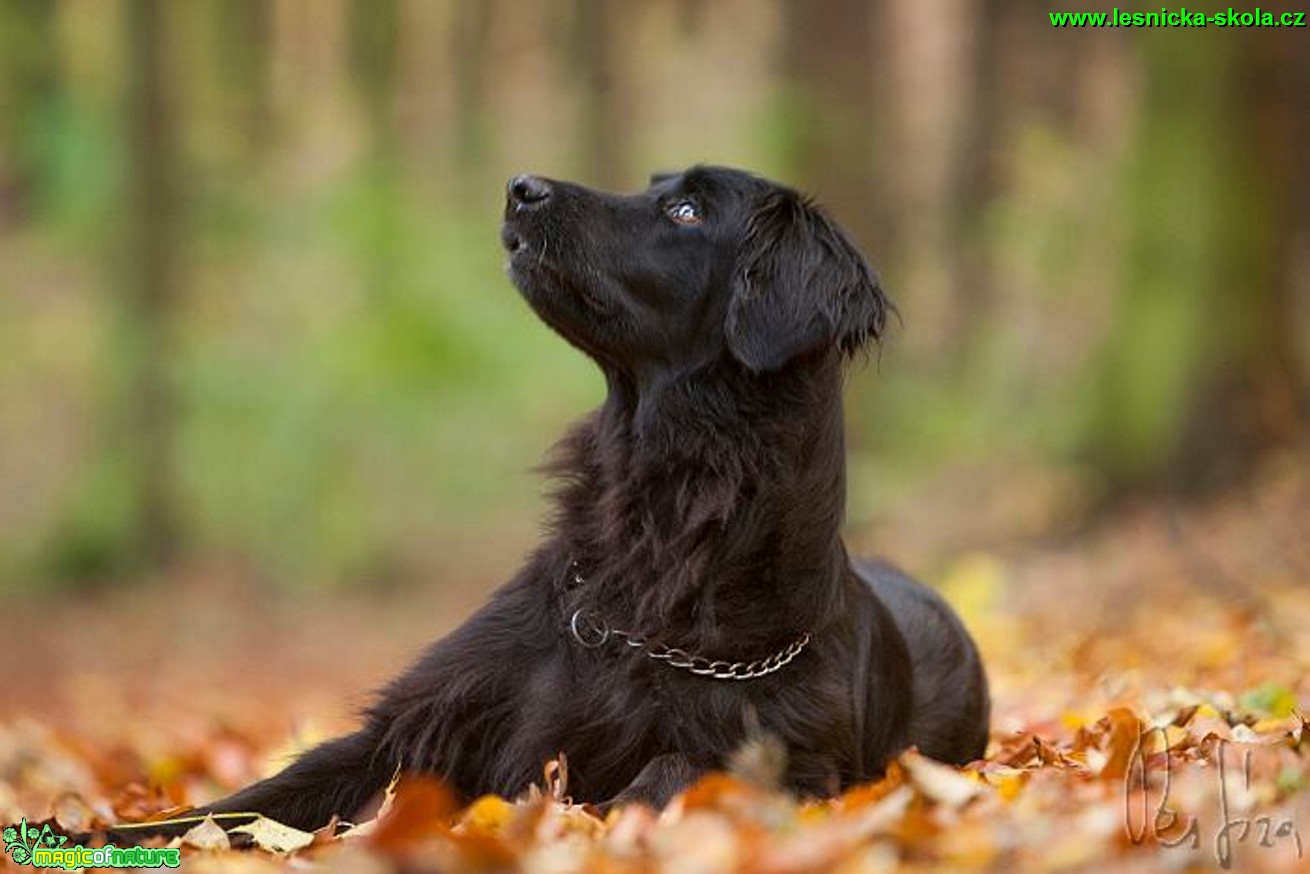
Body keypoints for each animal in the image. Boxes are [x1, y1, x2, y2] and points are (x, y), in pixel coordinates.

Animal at [184, 165, 985, 833]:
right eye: (655, 183)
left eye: (687, 210)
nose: (520, 188)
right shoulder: (415, 726)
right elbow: (246, 804)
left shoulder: (793, 757)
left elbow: (673, 771)